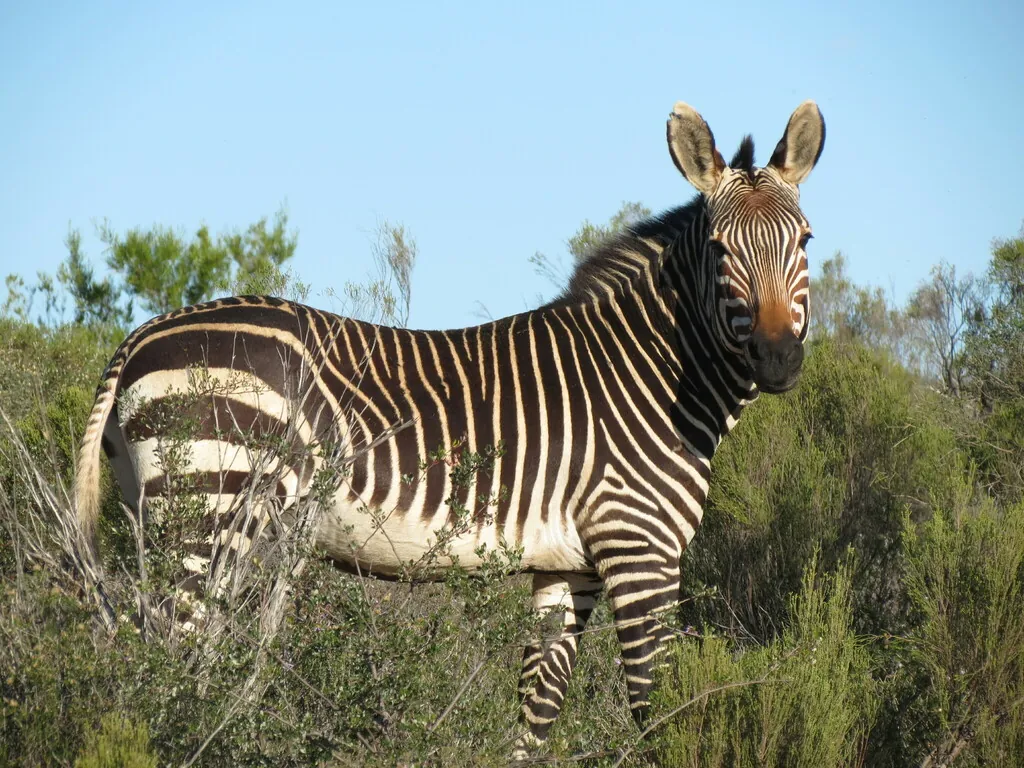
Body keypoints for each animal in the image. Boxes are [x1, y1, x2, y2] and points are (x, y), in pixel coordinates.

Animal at [75, 100, 825, 751]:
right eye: (722, 251)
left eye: (805, 241)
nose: (778, 357)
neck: (650, 372)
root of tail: (140, 335)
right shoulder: (638, 546)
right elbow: (657, 708)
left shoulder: (569, 565)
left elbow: (537, 713)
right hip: (209, 499)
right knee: (162, 663)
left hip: (178, 514)